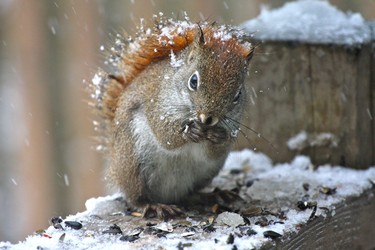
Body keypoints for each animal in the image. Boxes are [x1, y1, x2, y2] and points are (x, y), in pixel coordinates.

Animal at [90, 16, 256, 219]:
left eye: (237, 95)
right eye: (193, 81)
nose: (208, 118)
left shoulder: (233, 125)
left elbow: (215, 150)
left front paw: (218, 135)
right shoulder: (156, 104)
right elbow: (165, 136)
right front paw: (189, 131)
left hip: (206, 172)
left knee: (192, 194)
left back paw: (212, 196)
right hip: (132, 164)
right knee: (135, 198)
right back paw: (153, 205)